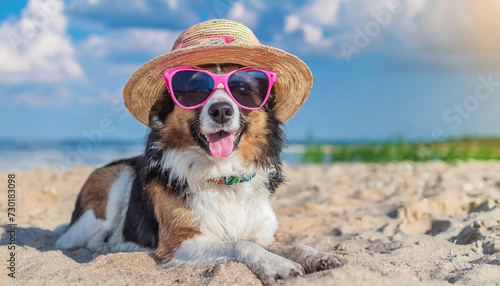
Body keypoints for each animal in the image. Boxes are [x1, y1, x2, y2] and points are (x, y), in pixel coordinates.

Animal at [54, 20, 344, 284]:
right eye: (194, 90)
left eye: (243, 89)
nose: (222, 110)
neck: (225, 175)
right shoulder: (180, 242)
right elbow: (242, 244)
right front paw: (278, 265)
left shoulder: (263, 235)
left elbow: (294, 245)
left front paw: (319, 256)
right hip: (113, 183)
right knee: (83, 240)